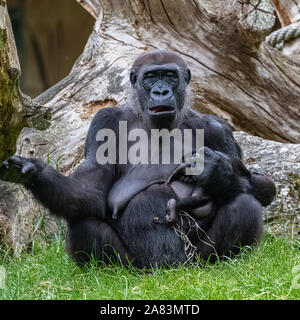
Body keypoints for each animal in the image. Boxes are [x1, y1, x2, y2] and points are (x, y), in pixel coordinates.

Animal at [0, 50, 276, 268]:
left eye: (170, 76)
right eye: (151, 77)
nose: (161, 91)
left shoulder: (216, 129)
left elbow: (263, 186)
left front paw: (219, 172)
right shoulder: (105, 120)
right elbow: (90, 190)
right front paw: (33, 172)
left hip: (194, 261)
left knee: (245, 206)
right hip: (135, 266)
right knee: (82, 221)